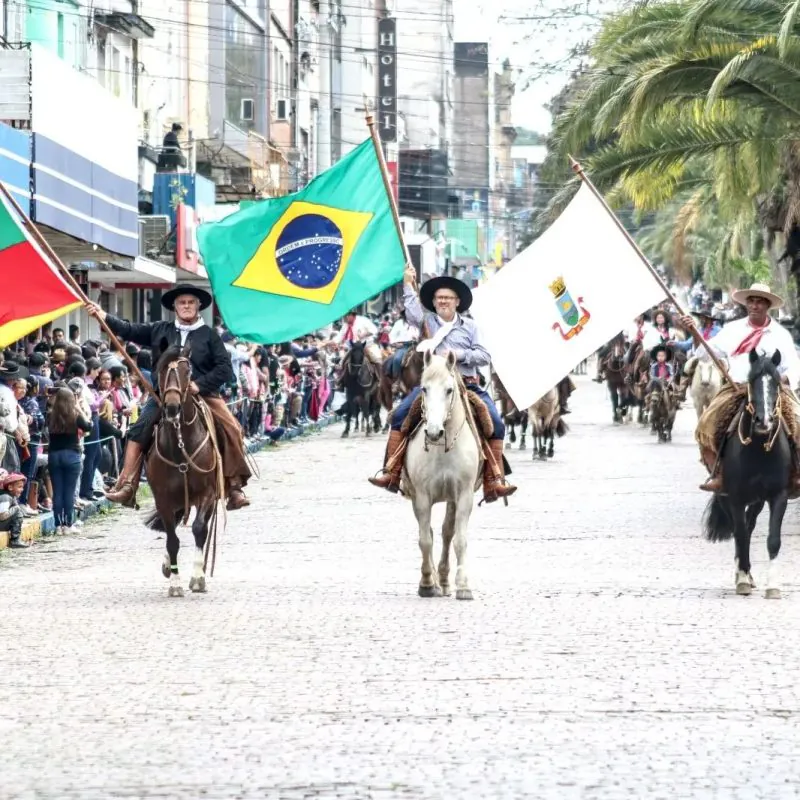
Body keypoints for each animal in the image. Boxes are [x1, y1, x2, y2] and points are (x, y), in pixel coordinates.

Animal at [144, 346, 223, 596]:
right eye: (160, 370)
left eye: (187, 370)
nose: (172, 407)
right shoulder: (163, 499)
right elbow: (172, 539)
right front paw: (175, 583)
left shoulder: (207, 493)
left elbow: (199, 529)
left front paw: (197, 578)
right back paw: (168, 566)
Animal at [404, 350, 478, 600]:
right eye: (424, 388)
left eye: (449, 390)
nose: (434, 432)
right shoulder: (421, 496)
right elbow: (425, 540)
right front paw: (427, 583)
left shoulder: (464, 495)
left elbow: (460, 539)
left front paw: (463, 586)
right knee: (431, 532)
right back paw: (436, 581)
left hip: (451, 499)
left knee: (447, 533)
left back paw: (445, 581)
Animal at [704, 352, 792, 600]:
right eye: (752, 381)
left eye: (776, 382)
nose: (764, 421)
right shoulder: (734, 497)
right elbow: (740, 534)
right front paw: (742, 578)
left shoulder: (778, 496)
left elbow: (773, 539)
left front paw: (773, 586)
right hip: (726, 496)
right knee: (740, 530)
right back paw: (743, 574)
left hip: (758, 500)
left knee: (750, 525)